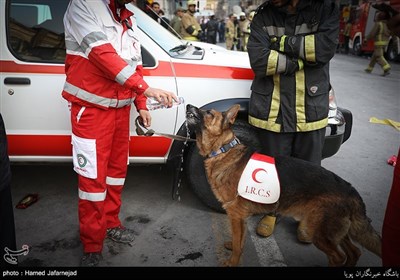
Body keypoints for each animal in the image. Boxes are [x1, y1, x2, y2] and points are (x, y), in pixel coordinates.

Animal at [187, 104, 382, 266]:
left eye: (209, 113)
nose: (188, 105)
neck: (223, 150)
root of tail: (351, 190)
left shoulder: (236, 215)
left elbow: (237, 243)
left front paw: (232, 262)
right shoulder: (241, 216)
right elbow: (239, 241)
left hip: (318, 232)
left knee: (339, 257)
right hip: (337, 232)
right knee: (354, 252)